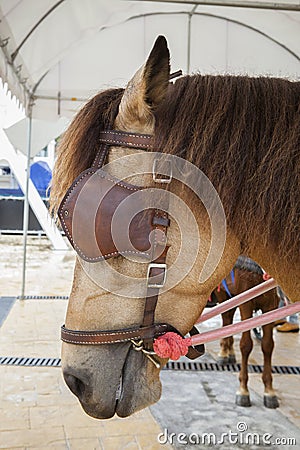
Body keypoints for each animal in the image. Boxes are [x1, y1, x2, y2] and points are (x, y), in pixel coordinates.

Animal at [211, 256, 278, 408]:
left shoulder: (271, 304)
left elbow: (268, 345)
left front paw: (269, 390)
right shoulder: (246, 303)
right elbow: (246, 345)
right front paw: (243, 390)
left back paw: (229, 352)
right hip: (223, 293)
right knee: (226, 318)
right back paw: (223, 352)